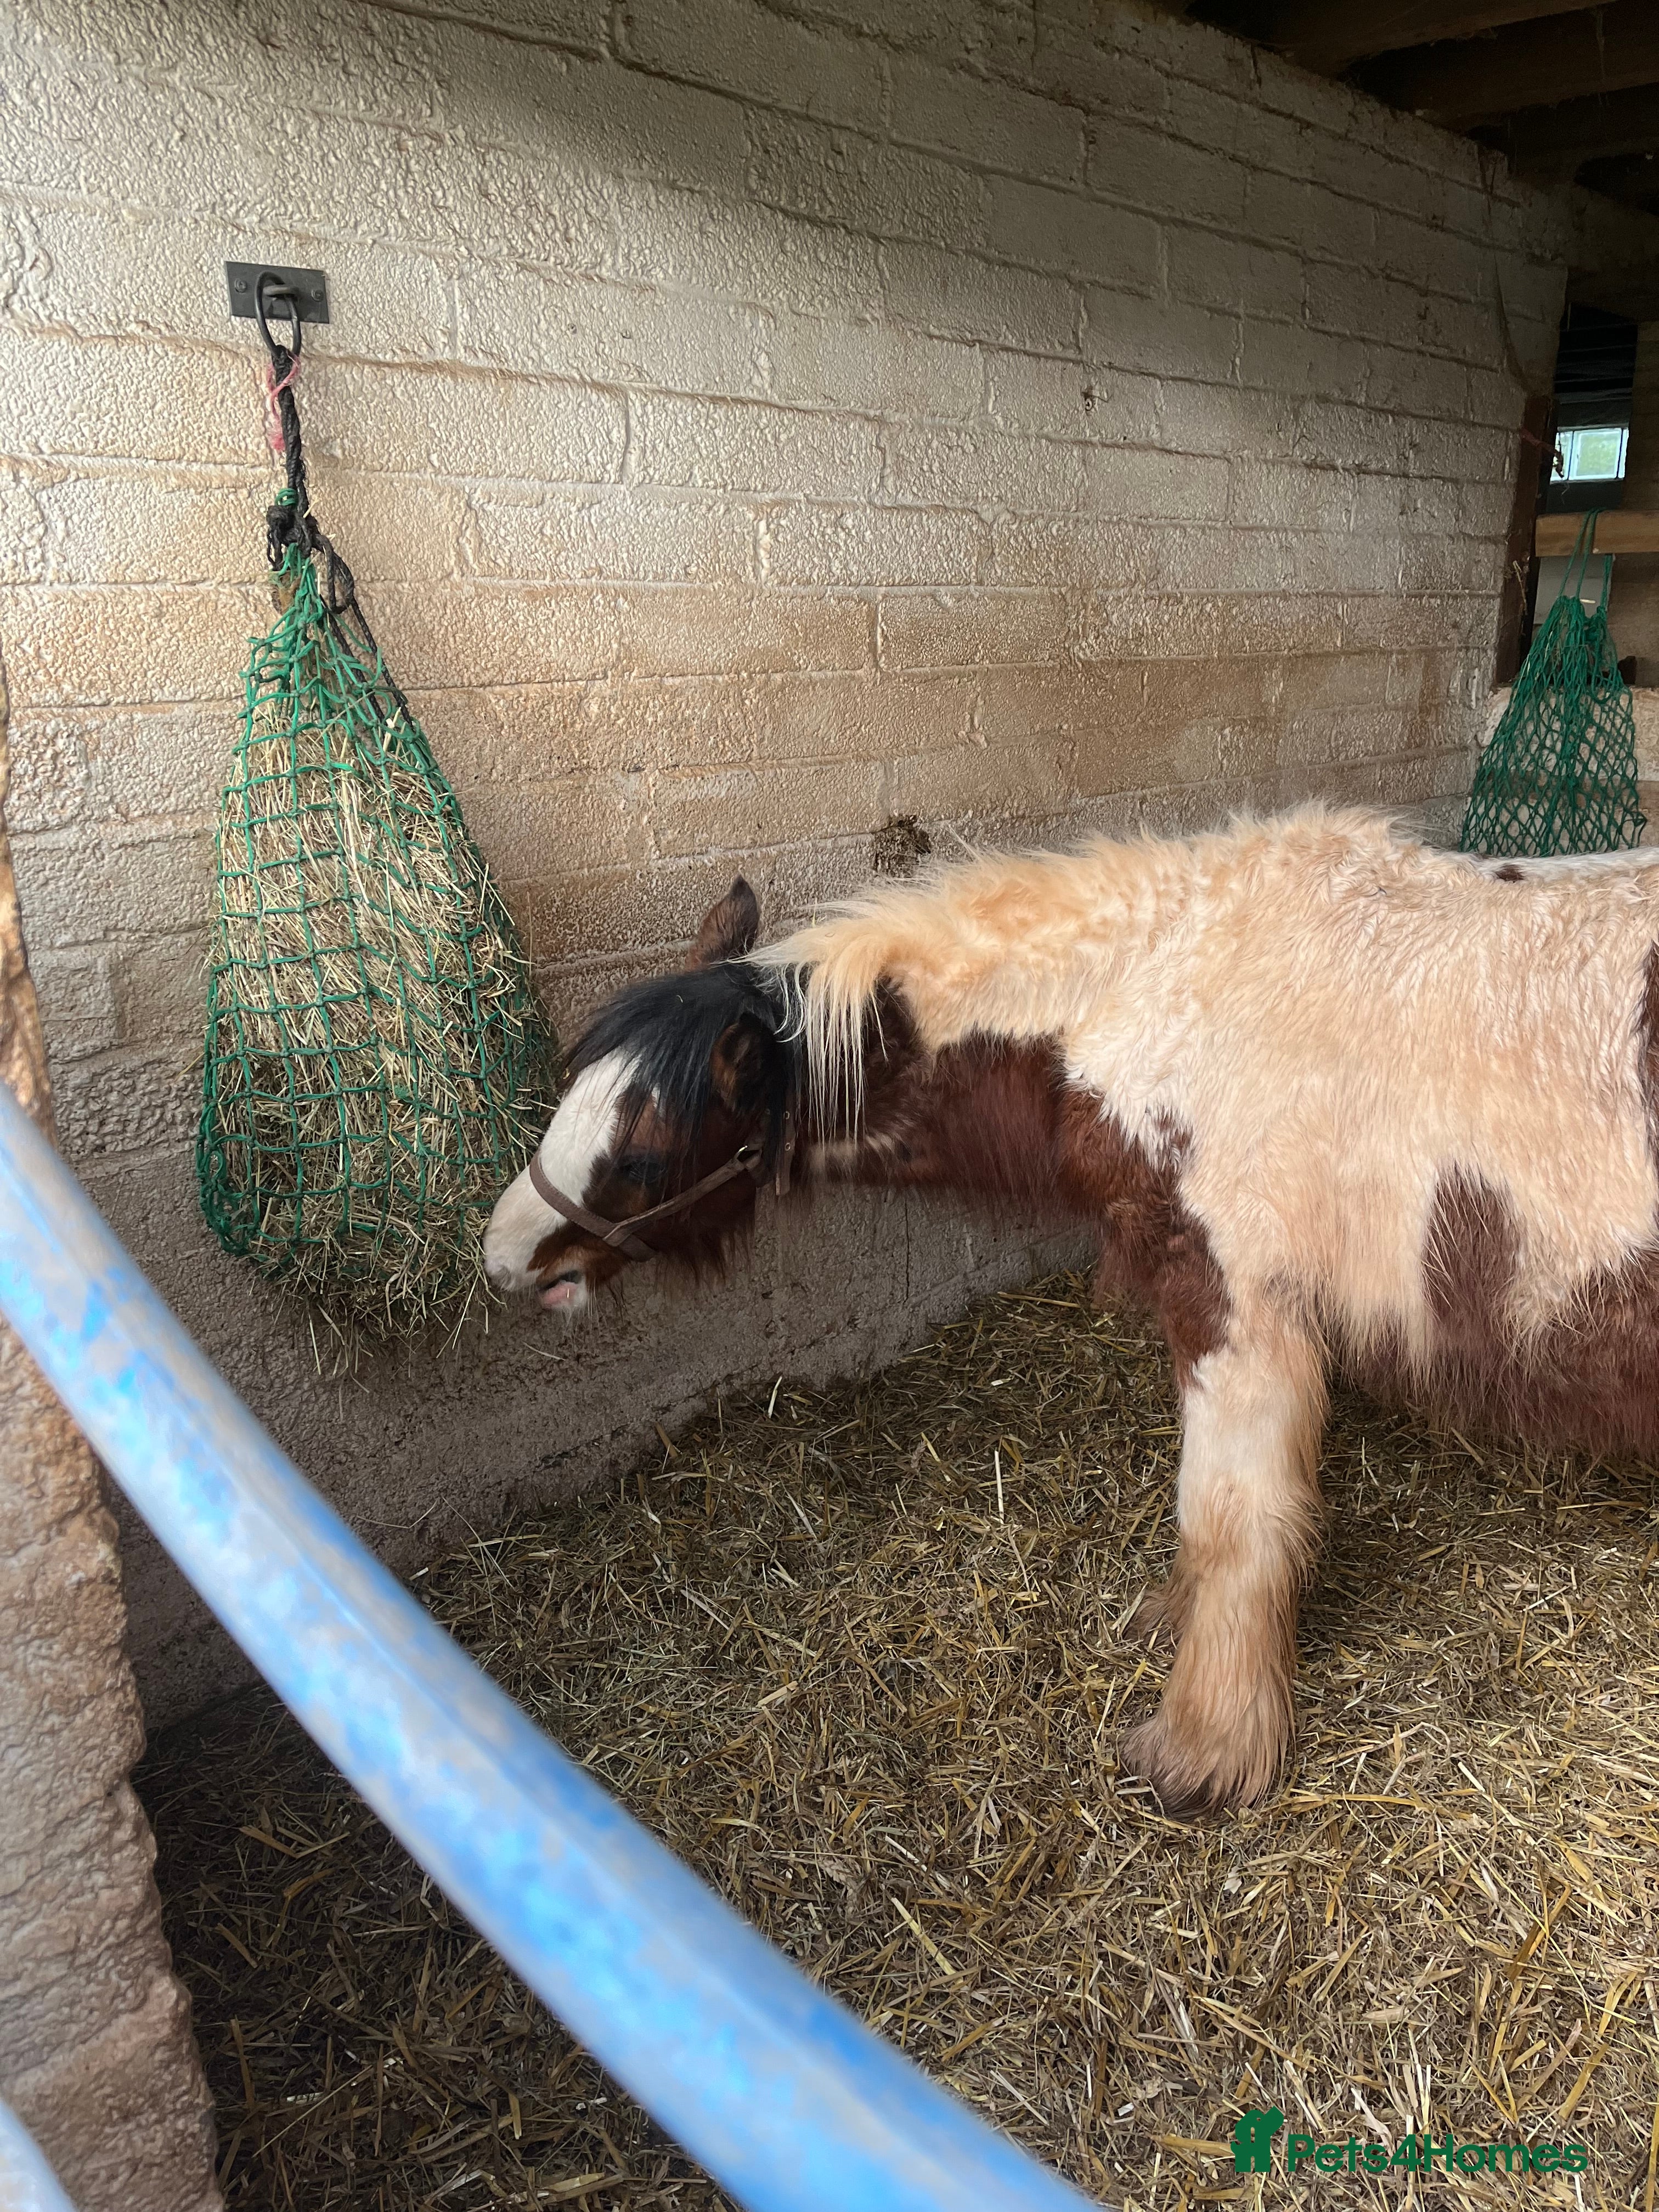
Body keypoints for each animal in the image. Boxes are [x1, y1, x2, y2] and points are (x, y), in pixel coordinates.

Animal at [484, 808, 1659, 1815]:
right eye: (571, 1091)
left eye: (640, 1154)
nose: (501, 1258)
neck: (1168, 995)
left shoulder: (1238, 1305)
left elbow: (1230, 1516)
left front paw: (1201, 1749)